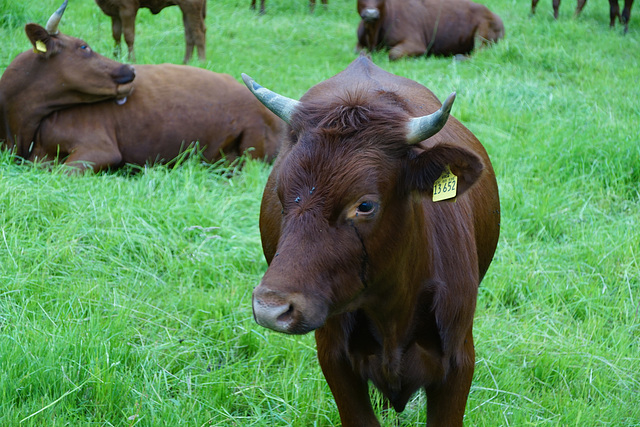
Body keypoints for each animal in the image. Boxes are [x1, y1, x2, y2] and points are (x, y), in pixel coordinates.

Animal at [242, 55, 502, 426]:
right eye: (280, 195)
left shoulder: (458, 362)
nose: (270, 308)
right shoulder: (335, 360)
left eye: (365, 205)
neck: (392, 309)